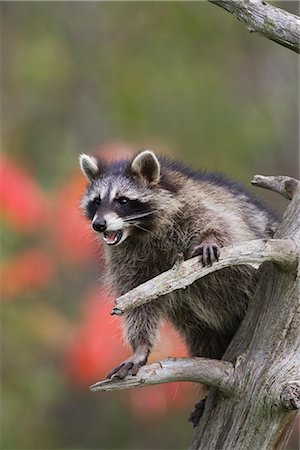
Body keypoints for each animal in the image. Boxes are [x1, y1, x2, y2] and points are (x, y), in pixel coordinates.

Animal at [79, 150, 276, 384]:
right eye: (97, 201)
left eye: (122, 200)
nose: (99, 225)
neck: (139, 231)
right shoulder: (127, 258)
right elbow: (138, 300)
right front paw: (140, 347)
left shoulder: (195, 206)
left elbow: (225, 227)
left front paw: (211, 238)